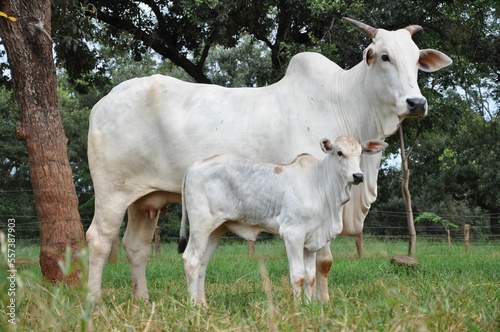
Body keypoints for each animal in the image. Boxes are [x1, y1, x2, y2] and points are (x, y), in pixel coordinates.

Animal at [179, 137, 386, 306]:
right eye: (339, 152)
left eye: (360, 153)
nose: (358, 176)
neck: (320, 186)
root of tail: (194, 166)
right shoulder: (293, 234)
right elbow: (298, 276)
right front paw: (298, 308)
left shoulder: (312, 241)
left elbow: (310, 276)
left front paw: (308, 306)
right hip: (200, 226)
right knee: (191, 261)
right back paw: (194, 307)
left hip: (216, 230)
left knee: (202, 264)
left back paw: (203, 305)